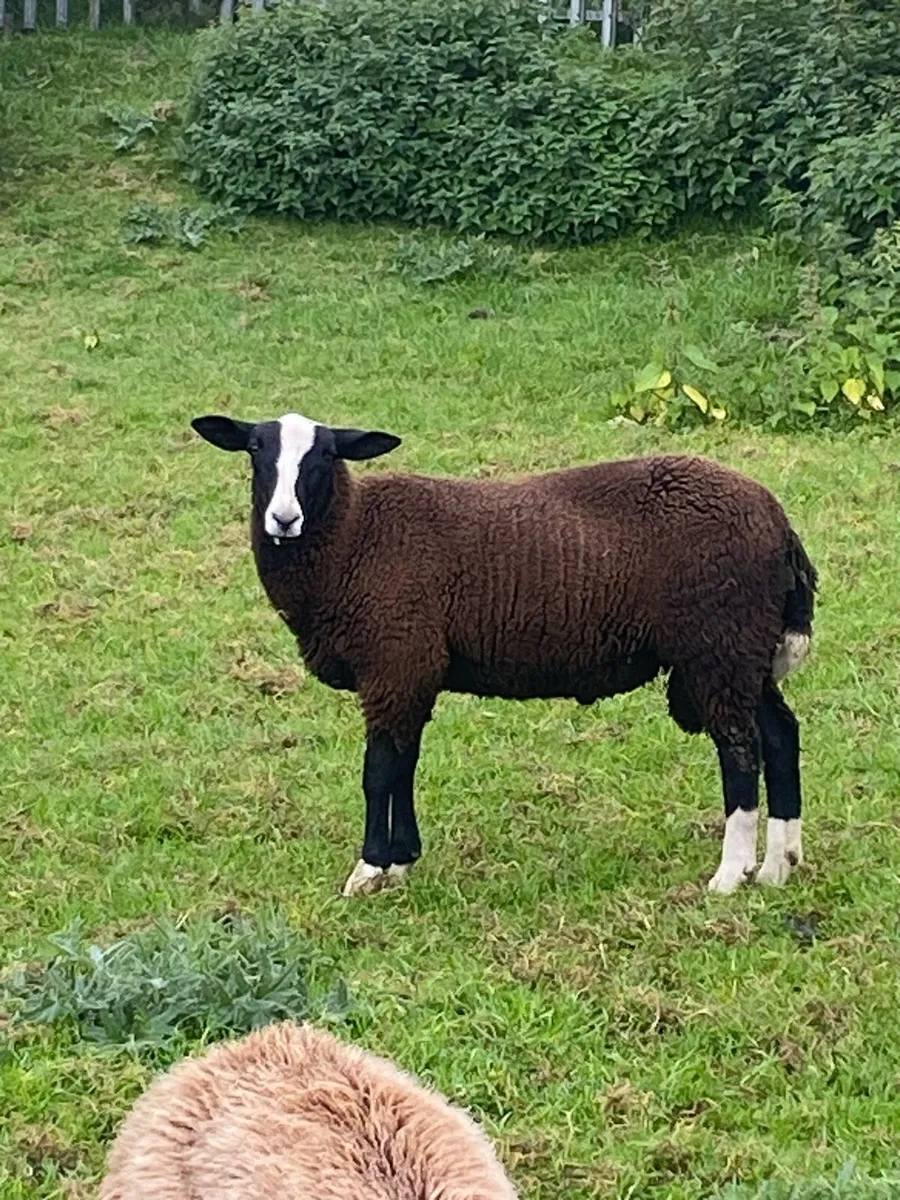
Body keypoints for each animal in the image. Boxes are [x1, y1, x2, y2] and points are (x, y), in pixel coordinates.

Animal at [191, 411, 817, 897]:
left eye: (324, 455)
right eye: (255, 450)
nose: (283, 519)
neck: (354, 537)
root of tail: (778, 521)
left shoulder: (395, 660)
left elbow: (378, 770)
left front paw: (369, 870)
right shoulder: (412, 670)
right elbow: (405, 764)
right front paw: (403, 860)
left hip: (719, 644)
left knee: (740, 750)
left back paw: (730, 876)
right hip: (745, 650)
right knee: (780, 734)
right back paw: (780, 866)